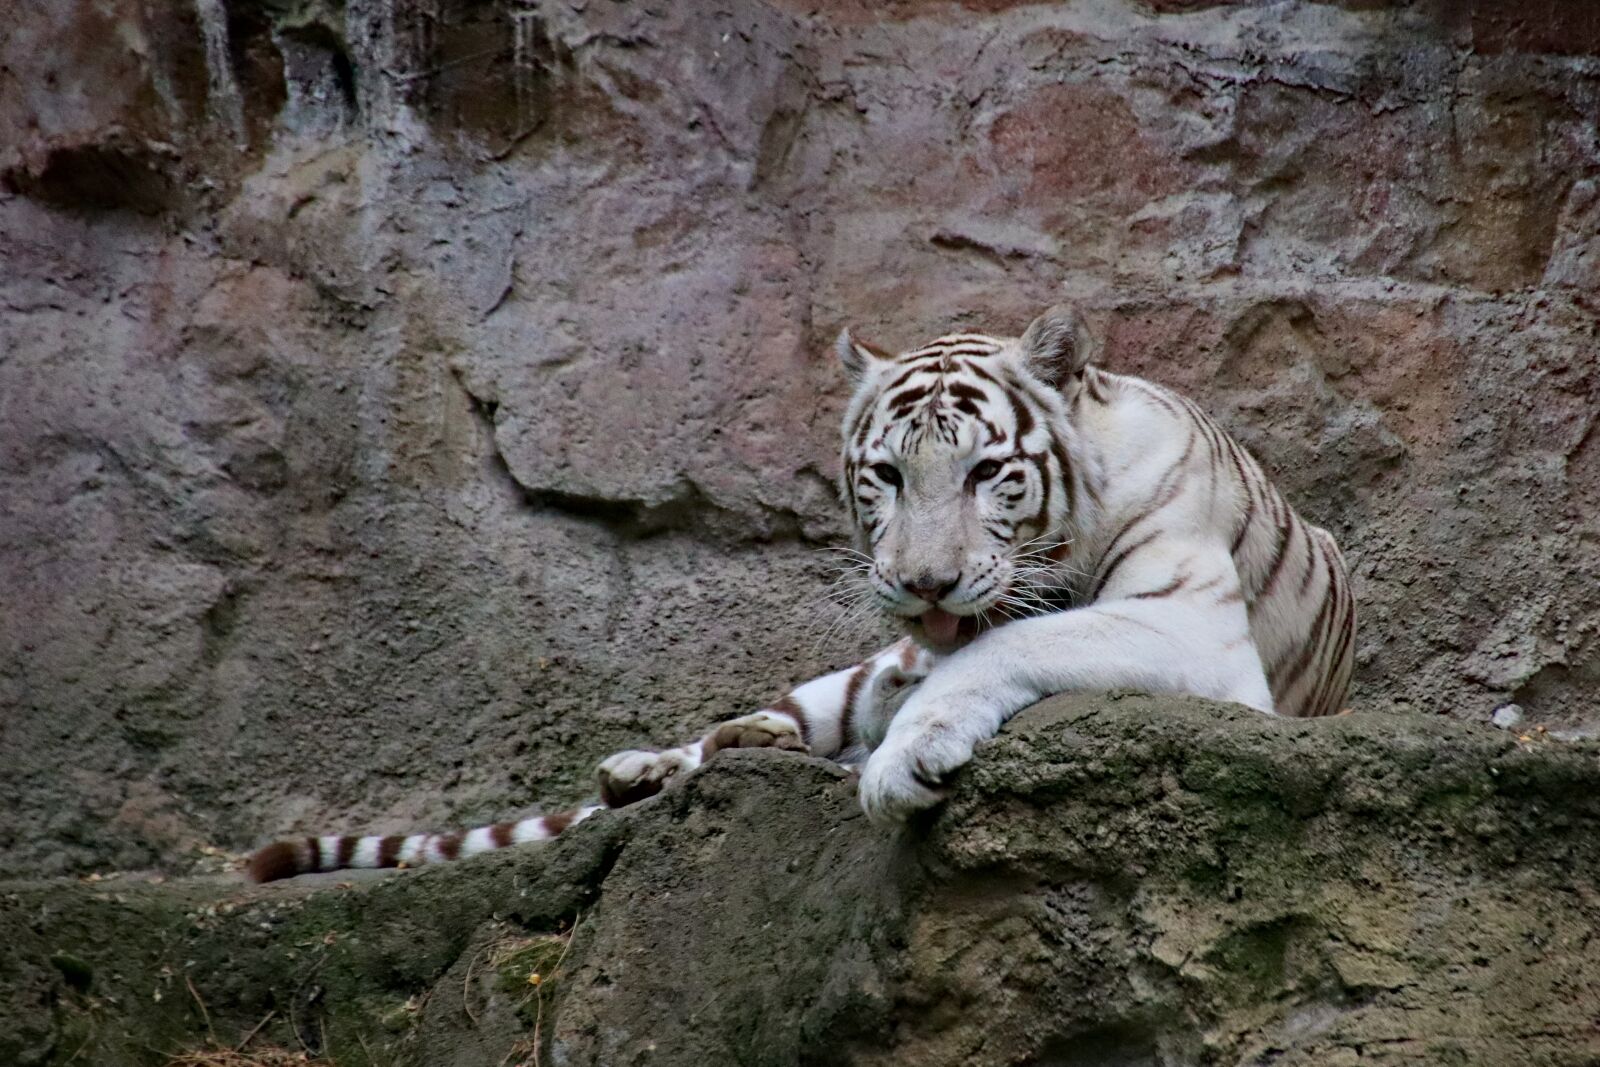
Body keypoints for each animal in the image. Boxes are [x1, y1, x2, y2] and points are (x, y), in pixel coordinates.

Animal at [248, 304, 1354, 880]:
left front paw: (905, 753)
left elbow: (1014, 644)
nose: (924, 581)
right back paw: (656, 765)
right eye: (889, 474)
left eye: (988, 472)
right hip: (837, 674)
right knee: (757, 724)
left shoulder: (1192, 629)